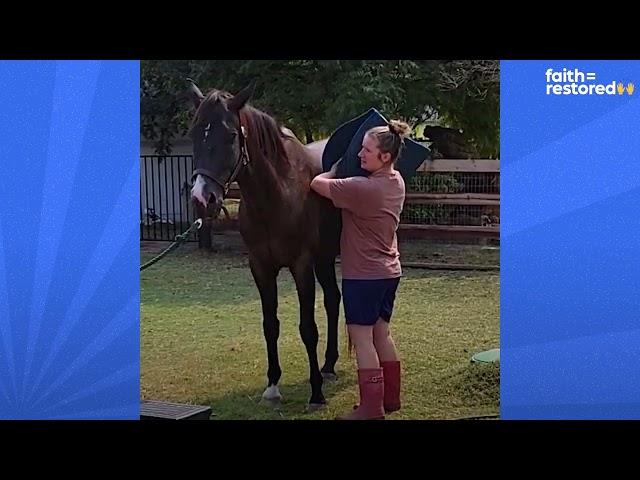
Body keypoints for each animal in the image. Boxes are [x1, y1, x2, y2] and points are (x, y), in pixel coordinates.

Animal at [188, 81, 342, 408]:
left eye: (231, 135)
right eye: (194, 133)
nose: (202, 198)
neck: (279, 192)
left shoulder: (301, 265)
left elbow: (308, 328)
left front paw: (316, 393)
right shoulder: (260, 266)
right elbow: (270, 325)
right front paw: (272, 386)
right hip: (324, 259)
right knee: (333, 300)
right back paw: (329, 365)